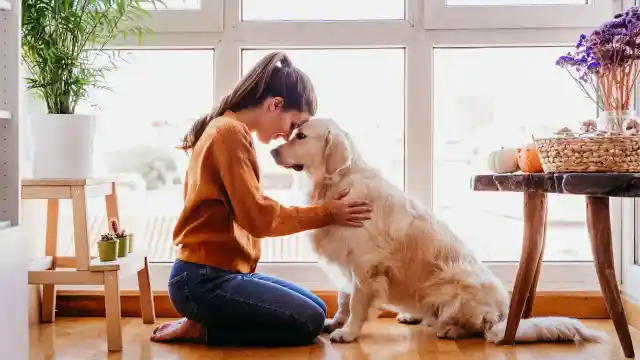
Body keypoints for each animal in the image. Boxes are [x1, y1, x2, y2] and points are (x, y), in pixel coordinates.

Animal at [268, 118, 604, 346]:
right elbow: (343, 297)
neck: (337, 182)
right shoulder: (347, 259)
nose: (271, 151)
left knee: (478, 328)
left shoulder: (365, 264)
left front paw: (348, 332)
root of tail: (503, 314)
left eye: (301, 136)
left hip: (458, 284)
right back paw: (413, 315)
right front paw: (335, 321)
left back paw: (449, 329)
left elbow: (358, 302)